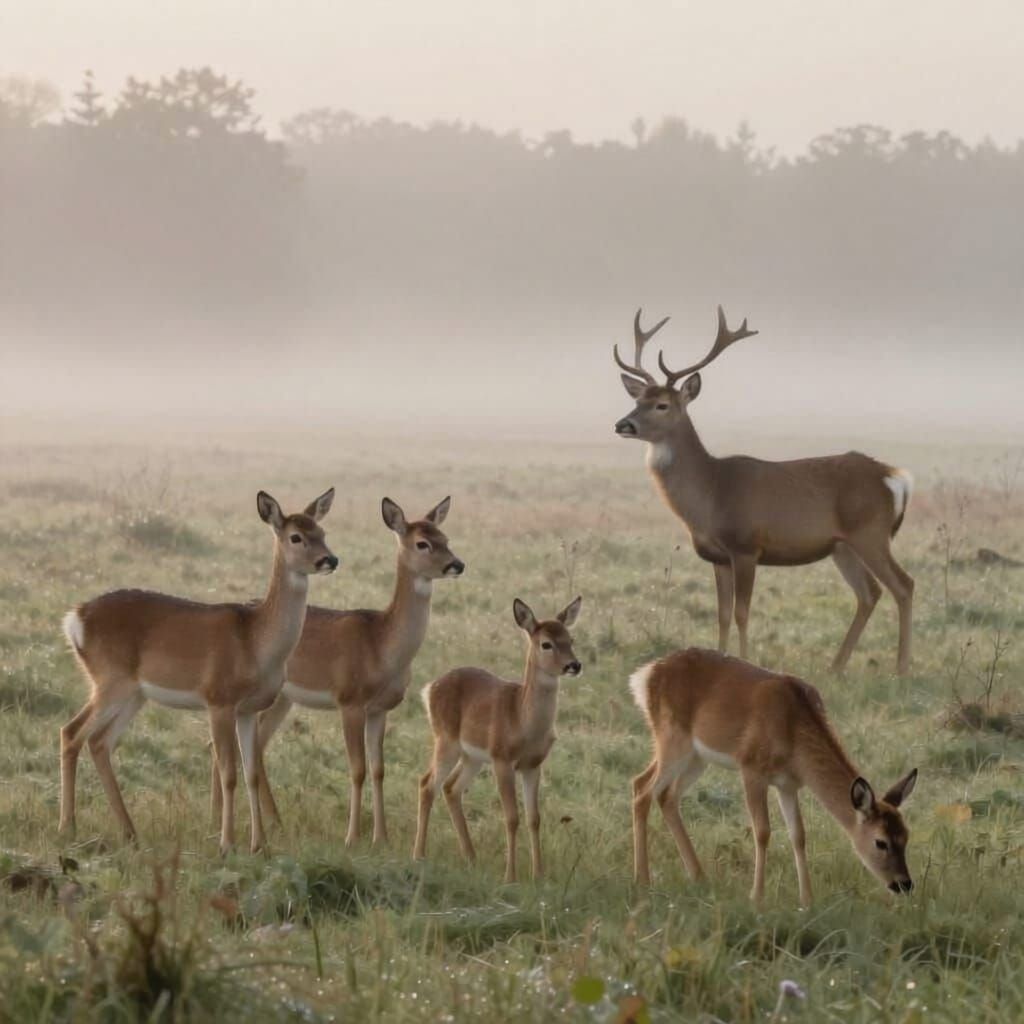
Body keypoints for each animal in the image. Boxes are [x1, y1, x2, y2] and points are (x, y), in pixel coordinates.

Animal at [59, 488, 337, 855]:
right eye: (296, 536)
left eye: (322, 531)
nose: (330, 560)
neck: (256, 641)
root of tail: (75, 619)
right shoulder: (218, 699)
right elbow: (228, 772)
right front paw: (226, 844)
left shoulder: (248, 709)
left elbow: (251, 772)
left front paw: (260, 845)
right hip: (110, 681)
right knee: (71, 733)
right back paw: (68, 827)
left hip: (134, 694)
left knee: (99, 741)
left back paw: (130, 833)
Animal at [211, 496, 465, 847]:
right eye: (422, 543)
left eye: (445, 537)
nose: (457, 564)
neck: (381, 644)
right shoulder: (350, 701)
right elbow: (357, 769)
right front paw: (352, 837)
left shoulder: (380, 709)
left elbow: (378, 769)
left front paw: (381, 838)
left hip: (280, 699)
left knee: (253, 747)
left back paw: (273, 822)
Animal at [413, 596, 582, 882]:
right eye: (546, 643)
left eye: (570, 639)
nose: (574, 665)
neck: (523, 721)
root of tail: (429, 689)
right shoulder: (502, 758)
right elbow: (512, 817)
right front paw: (510, 876)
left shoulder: (533, 764)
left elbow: (534, 817)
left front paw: (539, 874)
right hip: (446, 740)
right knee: (428, 784)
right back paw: (419, 855)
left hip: (473, 757)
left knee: (451, 787)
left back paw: (471, 857)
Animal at [613, 307, 914, 675]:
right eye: (638, 398)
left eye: (662, 405)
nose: (623, 424)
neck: (712, 492)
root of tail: (895, 478)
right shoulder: (717, 556)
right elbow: (722, 614)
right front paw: (720, 661)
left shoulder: (746, 546)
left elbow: (742, 613)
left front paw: (745, 662)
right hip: (842, 545)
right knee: (869, 593)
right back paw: (835, 668)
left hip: (871, 533)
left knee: (903, 585)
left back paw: (901, 669)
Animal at [629, 648, 919, 905]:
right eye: (880, 842)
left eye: (906, 835)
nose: (904, 884)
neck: (793, 732)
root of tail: (645, 675)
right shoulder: (751, 768)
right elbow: (763, 831)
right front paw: (757, 897)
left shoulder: (788, 784)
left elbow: (798, 835)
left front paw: (807, 900)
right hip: (673, 739)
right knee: (642, 788)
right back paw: (643, 879)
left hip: (696, 758)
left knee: (664, 794)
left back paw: (699, 876)